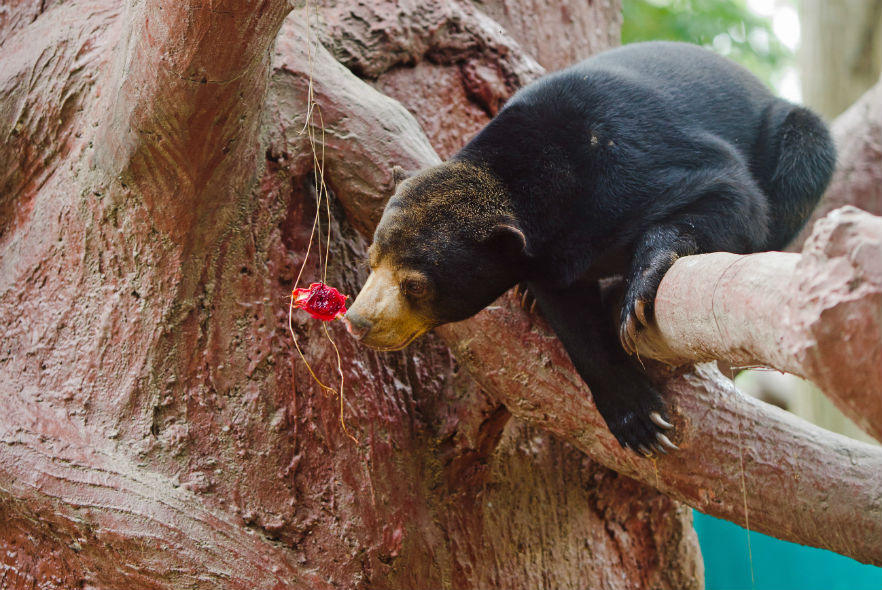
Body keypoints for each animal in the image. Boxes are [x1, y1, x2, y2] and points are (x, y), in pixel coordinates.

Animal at [340, 42, 836, 458]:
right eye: (371, 262)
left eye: (416, 285)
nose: (357, 322)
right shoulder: (545, 258)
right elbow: (573, 320)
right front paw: (639, 419)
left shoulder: (633, 165)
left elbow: (737, 199)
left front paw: (636, 296)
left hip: (796, 138)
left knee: (803, 156)